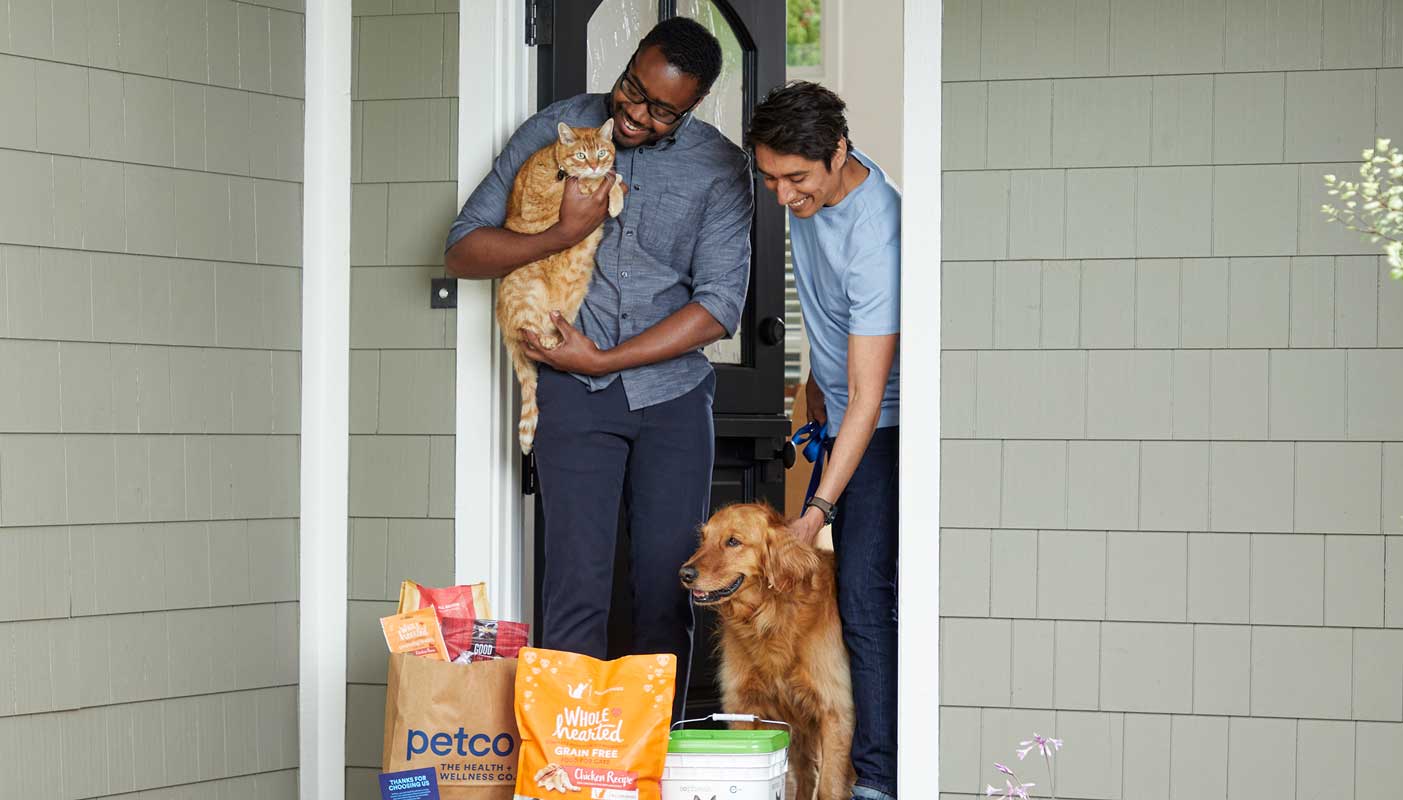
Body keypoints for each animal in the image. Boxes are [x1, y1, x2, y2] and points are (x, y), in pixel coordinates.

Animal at [496, 120, 622, 451]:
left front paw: (614, 189)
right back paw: (549, 342)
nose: (593, 164)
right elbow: (600, 183)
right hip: (530, 294)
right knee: (529, 332)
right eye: (580, 155)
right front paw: (609, 192)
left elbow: (612, 177)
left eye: (601, 152)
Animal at [679, 505, 853, 797]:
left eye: (733, 541)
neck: (769, 616)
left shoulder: (836, 709)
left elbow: (829, 787)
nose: (685, 574)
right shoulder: (743, 705)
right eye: (703, 538)